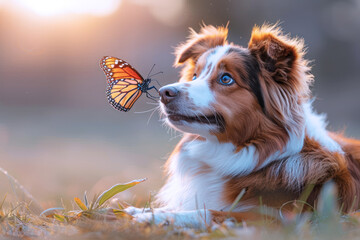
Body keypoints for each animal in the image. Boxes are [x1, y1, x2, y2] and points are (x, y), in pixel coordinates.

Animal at [124, 23, 360, 228]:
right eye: (195, 75)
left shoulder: (280, 217)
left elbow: (208, 212)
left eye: (226, 79)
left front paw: (153, 217)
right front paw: (139, 210)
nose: (164, 93)